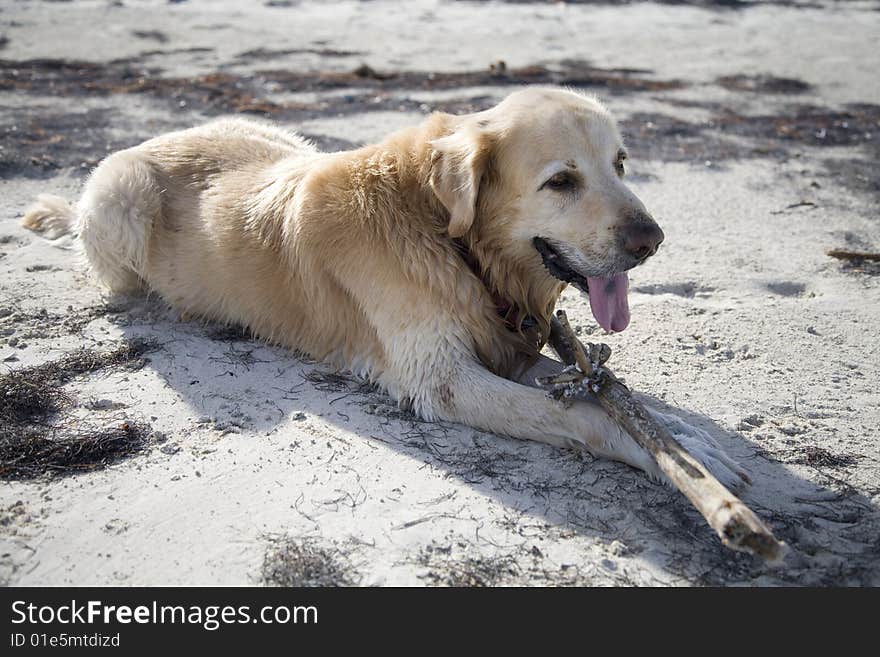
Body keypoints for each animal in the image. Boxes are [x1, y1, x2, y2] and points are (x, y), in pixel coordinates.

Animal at [22, 86, 744, 486]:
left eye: (620, 163)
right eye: (561, 181)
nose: (652, 239)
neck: (452, 239)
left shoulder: (504, 345)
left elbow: (610, 394)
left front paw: (689, 441)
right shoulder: (441, 378)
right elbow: (588, 414)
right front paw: (678, 460)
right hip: (122, 199)